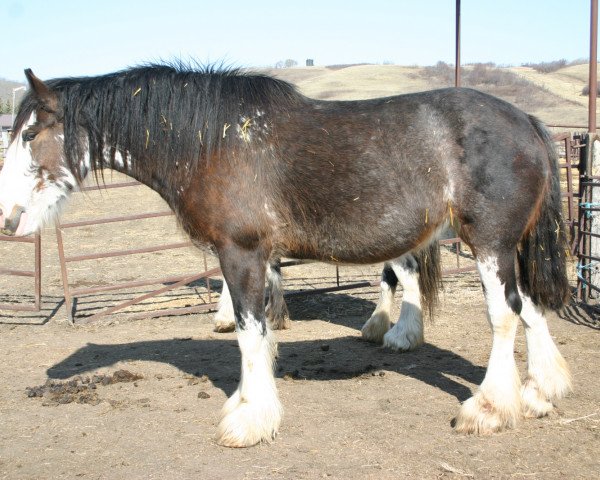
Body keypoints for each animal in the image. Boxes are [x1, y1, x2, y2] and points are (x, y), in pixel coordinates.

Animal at [0, 62, 572, 446]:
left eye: (30, 133)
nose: (8, 219)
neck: (212, 141)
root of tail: (526, 120)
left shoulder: (242, 253)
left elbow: (250, 335)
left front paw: (250, 418)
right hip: (509, 247)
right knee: (530, 305)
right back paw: (540, 391)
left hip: (490, 243)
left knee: (505, 315)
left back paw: (490, 407)